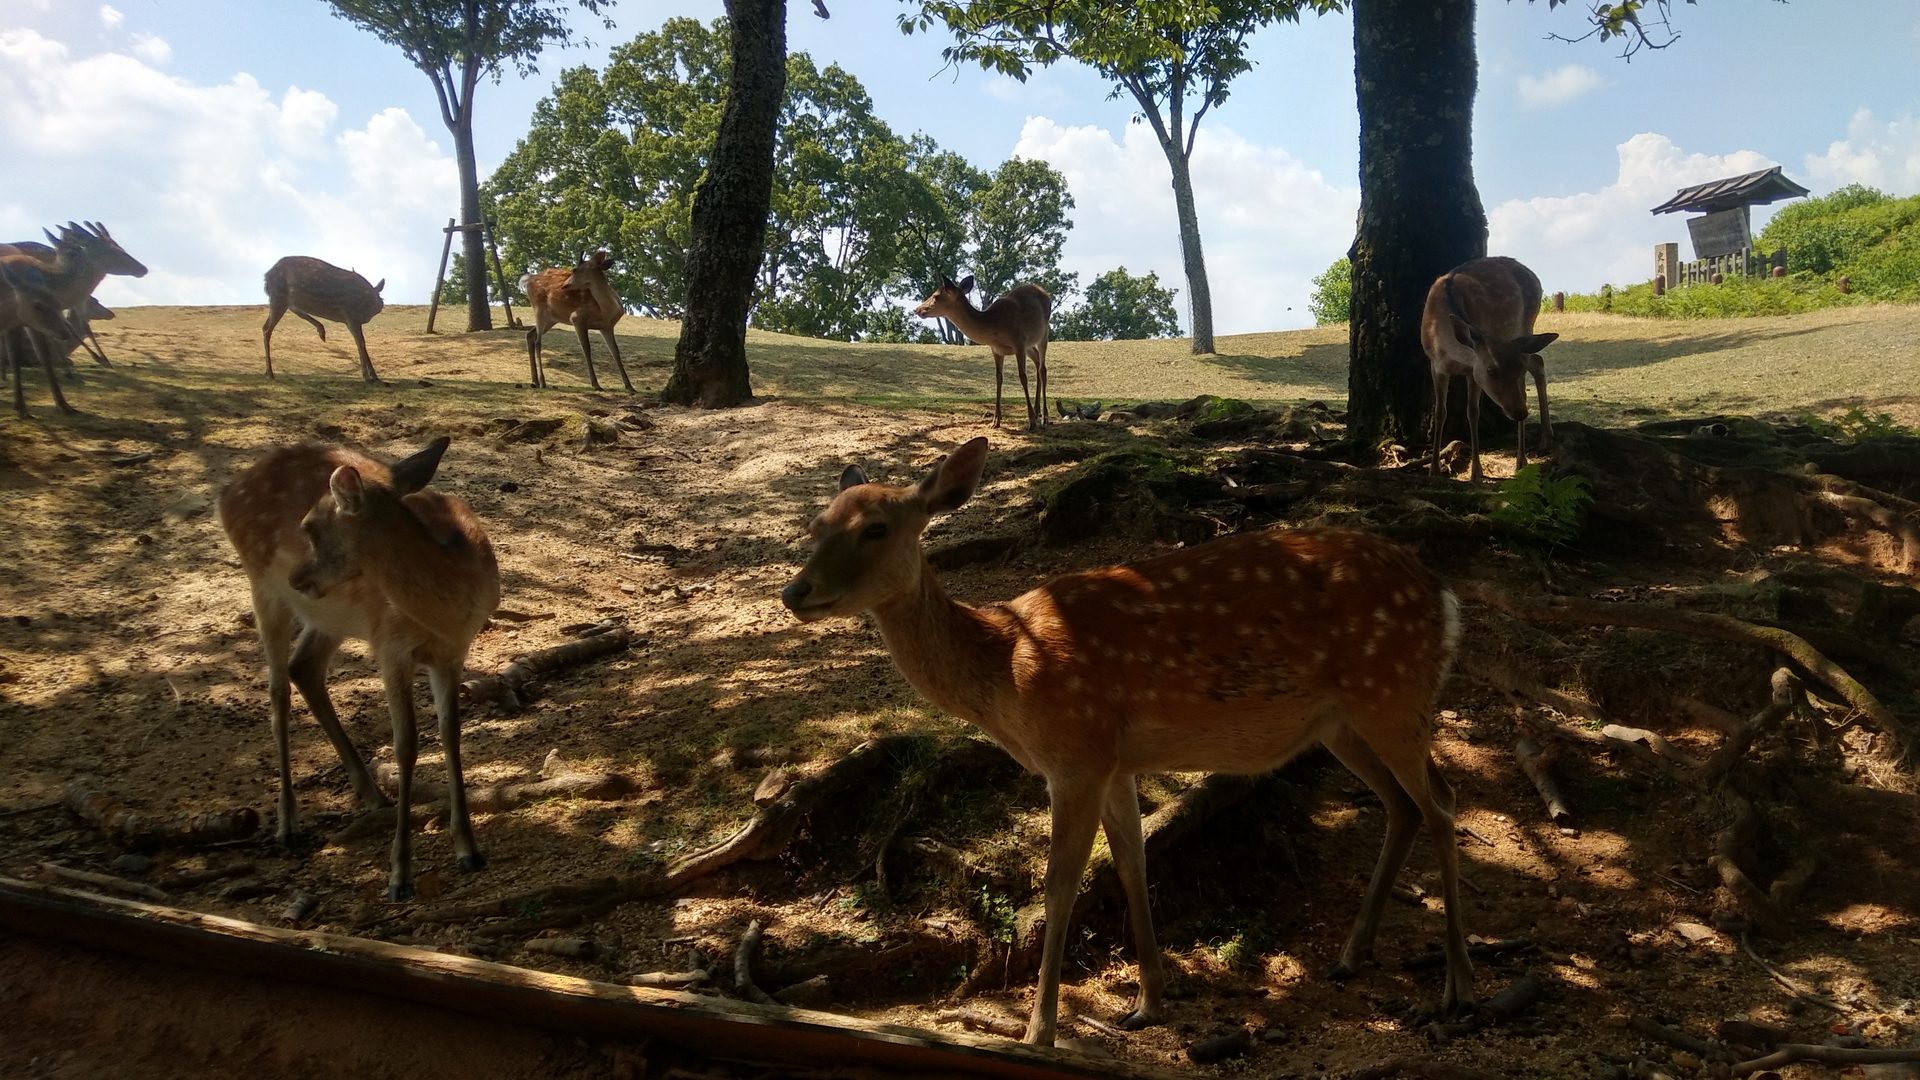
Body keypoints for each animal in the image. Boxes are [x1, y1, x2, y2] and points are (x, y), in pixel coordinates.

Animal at [218, 436, 499, 901]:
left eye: (310, 526)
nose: (298, 577)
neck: (444, 611)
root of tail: (227, 492)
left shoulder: (452, 653)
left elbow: (451, 734)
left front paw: (469, 850)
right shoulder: (389, 646)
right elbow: (406, 745)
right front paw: (399, 876)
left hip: (328, 618)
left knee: (303, 667)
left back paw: (371, 794)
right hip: (262, 585)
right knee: (277, 690)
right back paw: (287, 825)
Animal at [521, 249, 634, 392]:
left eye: (574, 269)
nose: (564, 286)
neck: (606, 310)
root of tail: (527, 280)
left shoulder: (607, 327)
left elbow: (615, 352)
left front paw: (629, 386)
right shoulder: (577, 319)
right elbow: (586, 348)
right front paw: (596, 384)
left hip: (552, 318)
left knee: (530, 335)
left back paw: (534, 380)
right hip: (539, 309)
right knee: (538, 342)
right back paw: (542, 381)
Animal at [780, 437, 1472, 1046]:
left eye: (876, 528)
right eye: (816, 524)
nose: (795, 591)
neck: (1008, 673)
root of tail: (1446, 597)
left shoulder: (1076, 754)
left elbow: (1060, 884)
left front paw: (1040, 1029)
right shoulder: (1115, 762)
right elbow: (1131, 862)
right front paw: (1147, 1003)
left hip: (1392, 693)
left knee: (1442, 804)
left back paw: (1456, 987)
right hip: (1342, 722)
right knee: (1404, 805)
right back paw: (1351, 956)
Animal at [914, 276, 1052, 431]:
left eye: (936, 296)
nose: (917, 309)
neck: (995, 327)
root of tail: (1044, 292)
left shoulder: (1019, 342)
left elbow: (1023, 377)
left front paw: (1031, 422)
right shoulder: (996, 350)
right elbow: (998, 378)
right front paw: (995, 421)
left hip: (1044, 333)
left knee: (1043, 369)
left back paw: (1044, 417)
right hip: (1030, 345)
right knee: (1037, 360)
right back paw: (1037, 410)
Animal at [1421, 256, 1557, 482]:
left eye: (1517, 370)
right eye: (1491, 370)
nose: (1520, 412)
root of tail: (1534, 276)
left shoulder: (1472, 370)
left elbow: (1472, 412)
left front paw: (1476, 471)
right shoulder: (1435, 365)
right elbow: (1440, 412)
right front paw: (1433, 470)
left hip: (1526, 325)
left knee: (1532, 371)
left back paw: (1525, 457)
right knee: (1537, 361)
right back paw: (1543, 440)